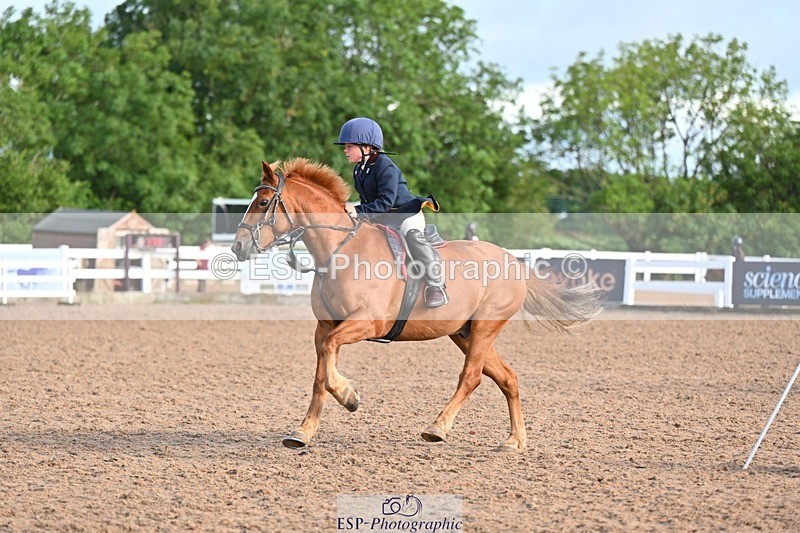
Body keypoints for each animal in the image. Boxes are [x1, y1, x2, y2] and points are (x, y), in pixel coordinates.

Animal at [231, 159, 603, 451]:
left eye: (263, 202)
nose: (237, 247)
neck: (341, 249)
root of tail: (513, 261)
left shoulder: (367, 322)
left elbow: (330, 359)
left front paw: (349, 395)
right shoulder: (324, 327)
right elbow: (321, 372)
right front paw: (304, 431)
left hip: (485, 328)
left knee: (471, 377)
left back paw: (437, 428)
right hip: (464, 333)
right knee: (507, 377)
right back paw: (514, 440)